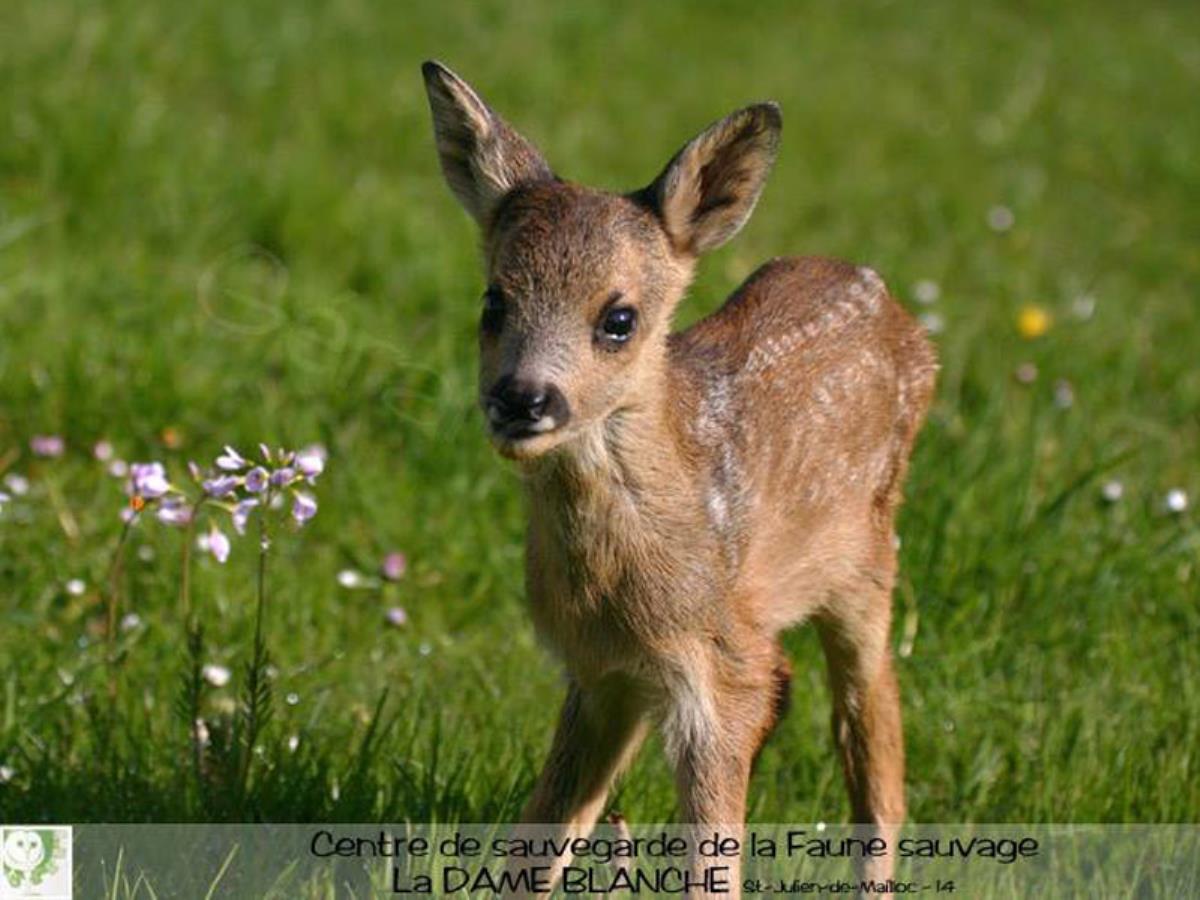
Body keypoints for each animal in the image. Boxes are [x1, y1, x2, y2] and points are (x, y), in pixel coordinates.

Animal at [422, 63, 936, 897]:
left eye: (619, 318)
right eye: (493, 300)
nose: (522, 399)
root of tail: (888, 298)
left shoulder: (721, 671)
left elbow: (713, 858)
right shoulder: (600, 676)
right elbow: (541, 837)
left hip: (869, 570)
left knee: (876, 755)